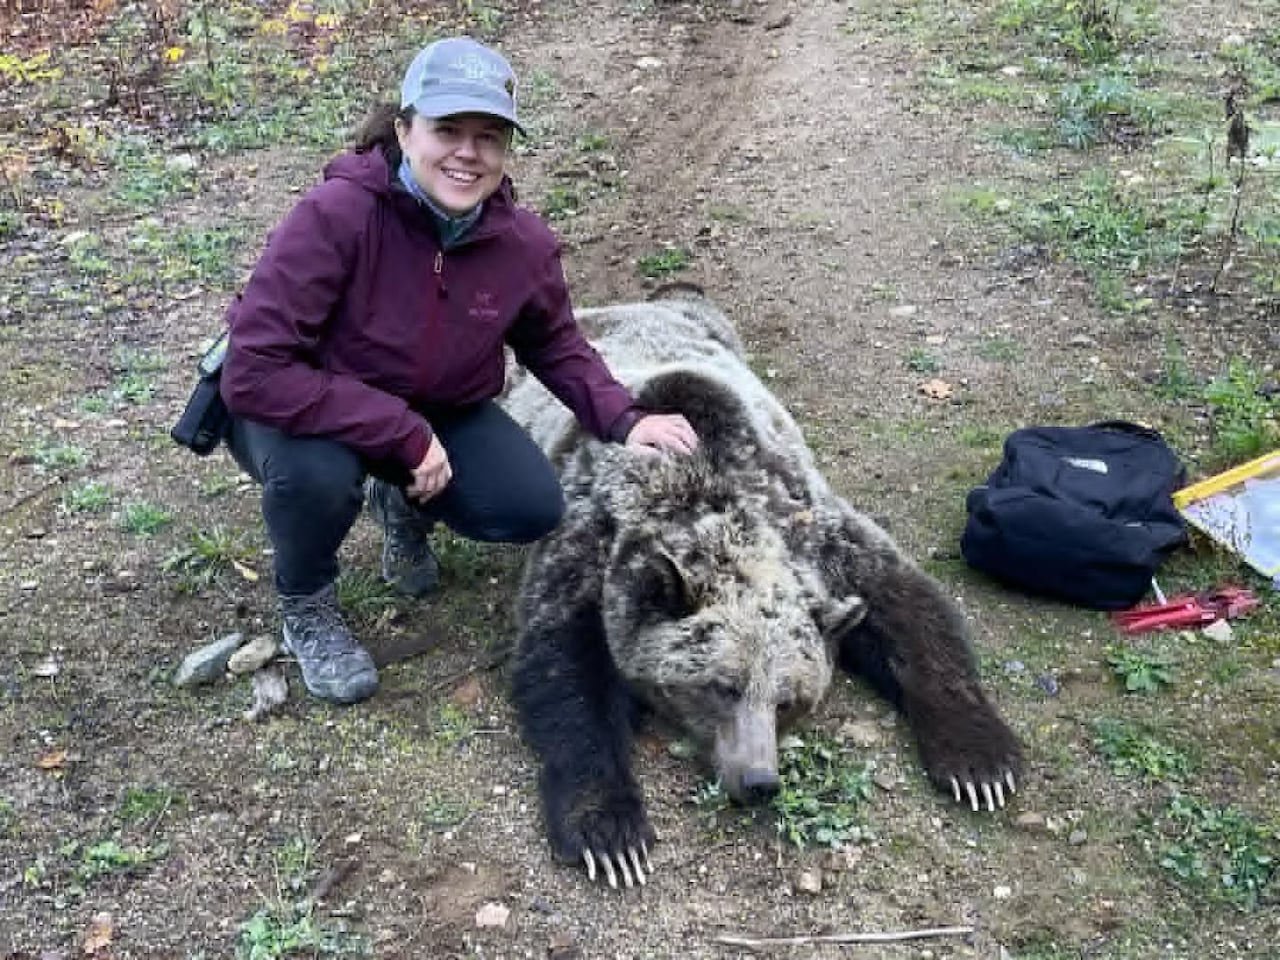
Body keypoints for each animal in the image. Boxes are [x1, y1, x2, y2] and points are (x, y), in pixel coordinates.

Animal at [503, 293, 1023, 889]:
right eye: (721, 687)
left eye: (788, 700)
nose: (759, 781)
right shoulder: (590, 545)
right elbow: (562, 669)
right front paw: (610, 832)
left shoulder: (812, 528)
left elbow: (909, 608)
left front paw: (980, 764)